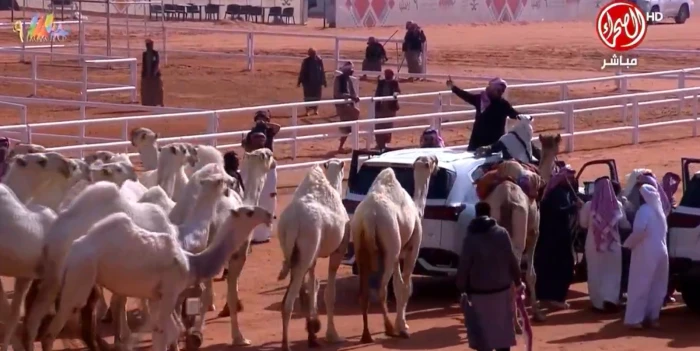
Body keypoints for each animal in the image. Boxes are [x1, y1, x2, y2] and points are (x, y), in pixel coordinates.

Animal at [39, 201, 272, 351]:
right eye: (249, 212)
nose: (270, 215)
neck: (192, 264)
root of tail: (72, 253)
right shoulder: (170, 292)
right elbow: (163, 333)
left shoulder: (157, 297)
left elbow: (170, 331)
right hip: (80, 277)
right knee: (50, 332)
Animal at [276, 160, 348, 351]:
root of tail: (294, 222)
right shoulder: (338, 250)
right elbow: (330, 293)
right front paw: (332, 335)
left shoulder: (311, 255)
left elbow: (312, 285)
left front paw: (313, 333)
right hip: (306, 248)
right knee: (288, 302)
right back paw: (285, 345)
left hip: (294, 251)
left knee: (291, 296)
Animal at [352, 155, 434, 342]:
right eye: (431, 161)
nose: (436, 159)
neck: (417, 209)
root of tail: (370, 217)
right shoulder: (412, 247)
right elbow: (405, 286)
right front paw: (402, 327)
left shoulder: (398, 253)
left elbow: (397, 285)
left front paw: (401, 324)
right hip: (390, 245)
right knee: (381, 289)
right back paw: (389, 328)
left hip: (360, 244)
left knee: (364, 291)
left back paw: (366, 334)